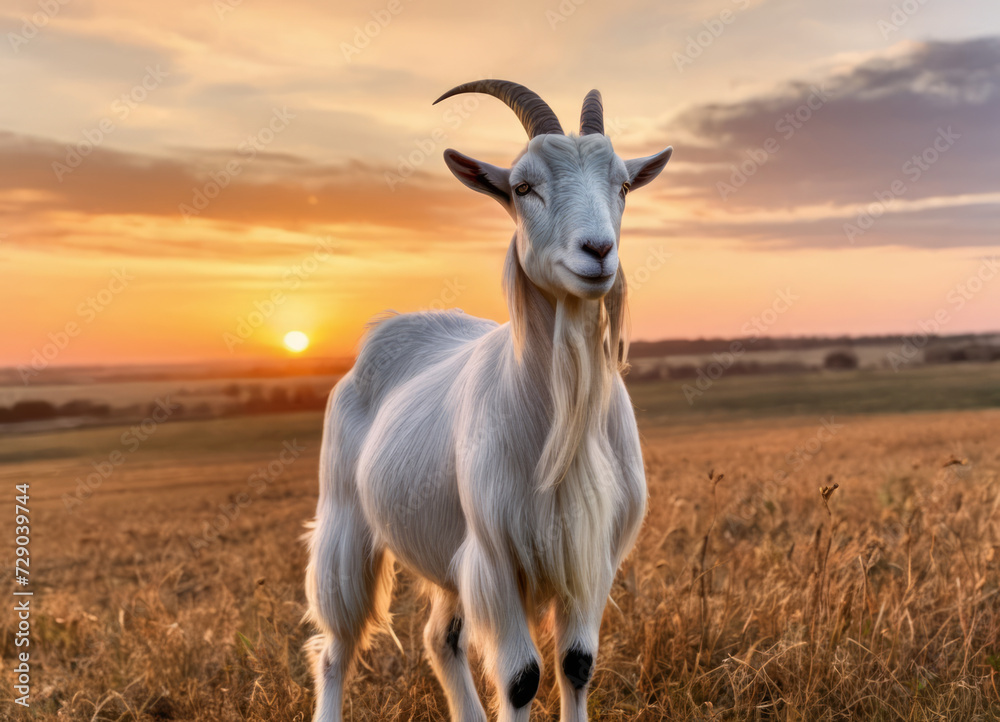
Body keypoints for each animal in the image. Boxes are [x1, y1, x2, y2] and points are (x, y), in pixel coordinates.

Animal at [306, 80, 672, 720]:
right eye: (523, 187)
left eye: (623, 185)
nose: (598, 251)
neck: (560, 420)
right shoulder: (496, 556)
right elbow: (522, 677)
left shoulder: (589, 556)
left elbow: (577, 665)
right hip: (345, 525)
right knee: (335, 646)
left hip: (448, 554)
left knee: (439, 638)